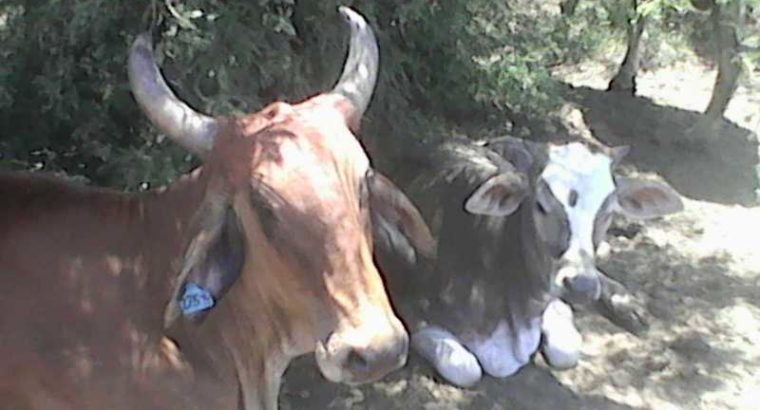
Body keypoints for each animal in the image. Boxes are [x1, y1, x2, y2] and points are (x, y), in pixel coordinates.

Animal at [384, 136, 683, 387]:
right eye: (540, 204)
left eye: (609, 211)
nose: (581, 286)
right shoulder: (406, 305)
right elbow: (464, 367)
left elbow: (565, 350)